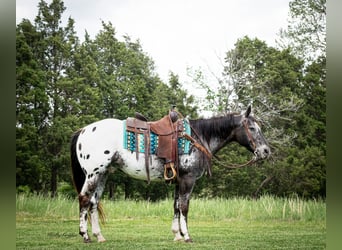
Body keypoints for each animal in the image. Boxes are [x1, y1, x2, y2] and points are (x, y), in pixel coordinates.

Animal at [71, 105, 272, 242]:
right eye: (252, 128)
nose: (266, 151)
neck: (197, 137)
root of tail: (83, 130)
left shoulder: (178, 181)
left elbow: (176, 206)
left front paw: (177, 235)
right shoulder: (188, 180)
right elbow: (184, 207)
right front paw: (187, 236)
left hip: (103, 174)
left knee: (93, 202)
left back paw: (99, 236)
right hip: (93, 174)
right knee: (84, 199)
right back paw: (85, 235)